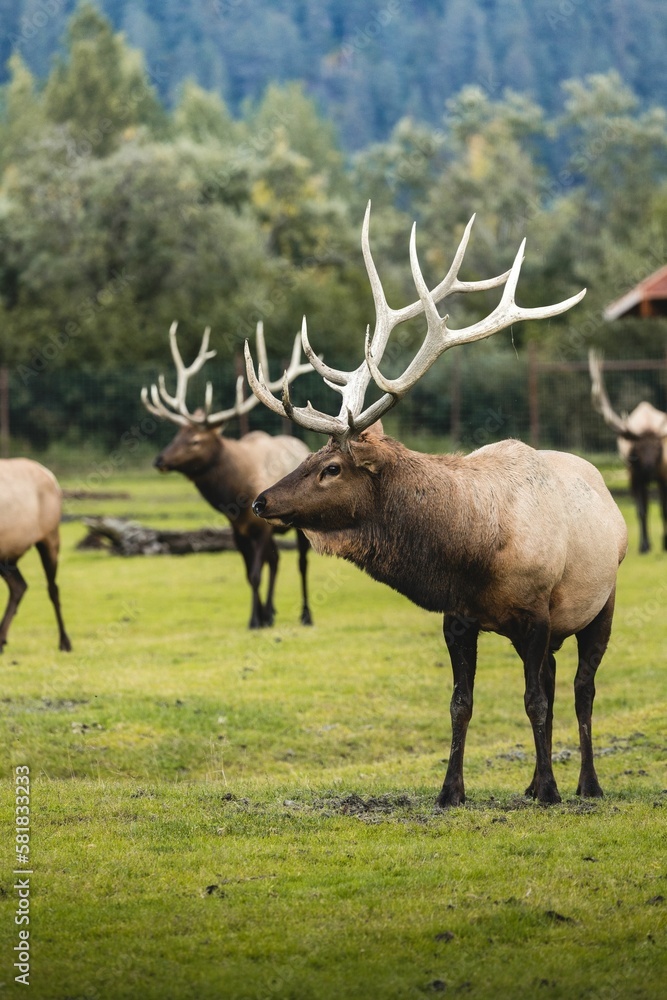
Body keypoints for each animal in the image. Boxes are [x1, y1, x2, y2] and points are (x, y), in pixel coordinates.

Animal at [0, 458, 71, 652]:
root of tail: (50, 476)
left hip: (50, 537)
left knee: (53, 589)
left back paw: (65, 641)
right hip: (7, 556)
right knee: (19, 585)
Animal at [140, 324, 316, 628]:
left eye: (195, 440)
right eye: (177, 433)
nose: (159, 460)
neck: (236, 496)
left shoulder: (261, 527)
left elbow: (256, 573)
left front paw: (256, 620)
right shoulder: (238, 530)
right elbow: (250, 574)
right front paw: (258, 617)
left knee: (300, 562)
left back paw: (306, 615)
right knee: (276, 560)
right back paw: (271, 612)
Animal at [244, 203, 628, 804]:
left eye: (332, 468)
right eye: (308, 456)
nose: (261, 501)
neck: (475, 552)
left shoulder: (536, 615)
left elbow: (536, 704)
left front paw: (550, 789)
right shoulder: (460, 618)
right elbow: (460, 705)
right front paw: (452, 792)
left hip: (600, 603)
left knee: (582, 689)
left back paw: (586, 783)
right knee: (555, 682)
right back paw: (533, 783)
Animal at [588, 350, 667, 556]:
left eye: (659, 448)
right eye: (637, 448)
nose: (649, 468)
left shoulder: (663, 473)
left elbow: (663, 509)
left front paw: (665, 543)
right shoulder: (633, 474)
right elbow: (641, 509)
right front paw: (644, 546)